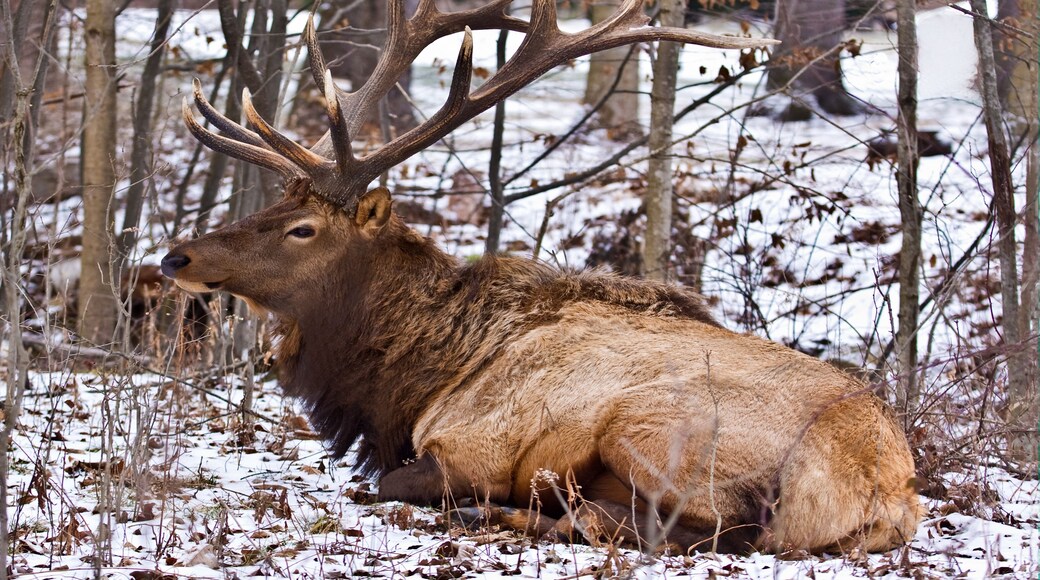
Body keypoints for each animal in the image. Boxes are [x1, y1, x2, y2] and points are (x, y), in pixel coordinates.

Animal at [161, 0, 921, 554]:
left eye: (303, 229)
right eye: (275, 205)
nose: (177, 258)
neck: (406, 383)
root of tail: (887, 490)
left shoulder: (471, 447)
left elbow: (387, 485)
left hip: (653, 429)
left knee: (700, 529)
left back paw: (515, 514)